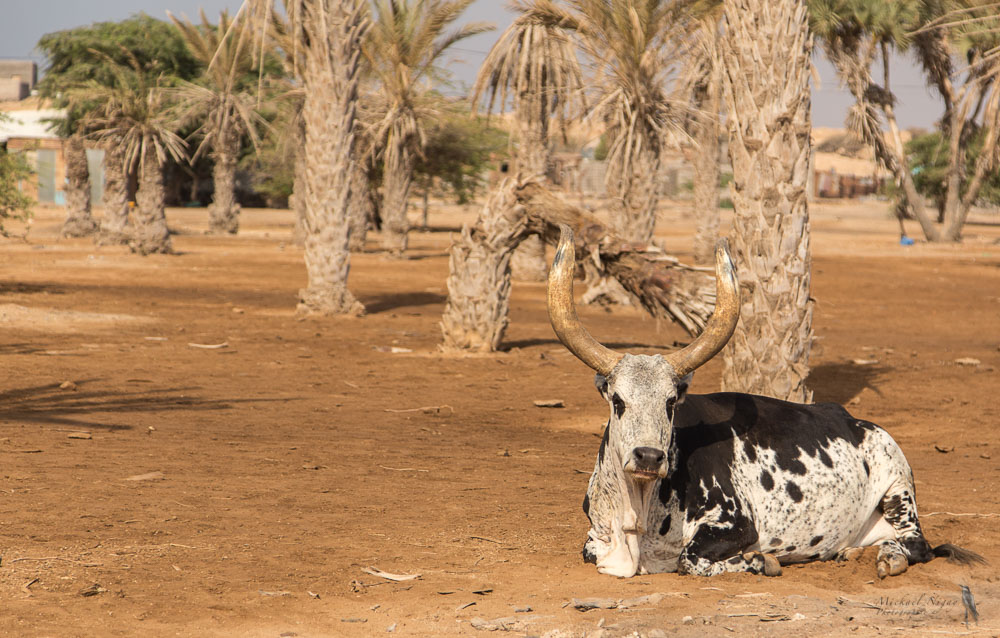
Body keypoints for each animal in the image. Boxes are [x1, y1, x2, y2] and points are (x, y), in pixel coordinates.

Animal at [548, 225, 984, 580]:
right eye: (618, 400)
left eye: (671, 402)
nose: (649, 457)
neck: (638, 517)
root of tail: (859, 422)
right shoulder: (595, 537)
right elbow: (591, 551)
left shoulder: (736, 525)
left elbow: (690, 560)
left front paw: (761, 560)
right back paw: (850, 552)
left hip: (898, 485)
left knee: (917, 544)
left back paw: (887, 558)